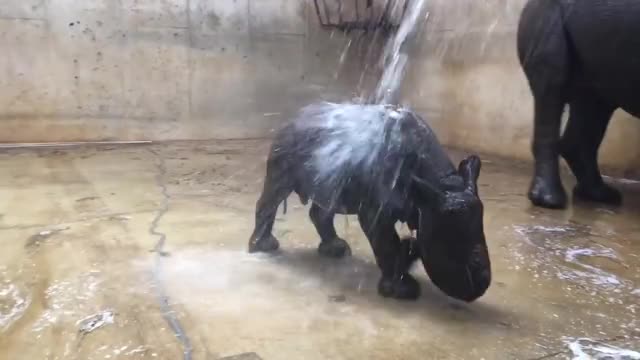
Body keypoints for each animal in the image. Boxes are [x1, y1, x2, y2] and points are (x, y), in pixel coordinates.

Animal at [248, 102, 492, 302]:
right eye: (448, 241)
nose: (481, 284)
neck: (442, 185)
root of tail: (294, 116)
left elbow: (395, 245)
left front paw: (407, 257)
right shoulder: (376, 211)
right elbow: (386, 243)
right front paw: (403, 291)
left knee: (325, 203)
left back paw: (335, 250)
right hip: (285, 150)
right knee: (275, 192)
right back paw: (264, 247)